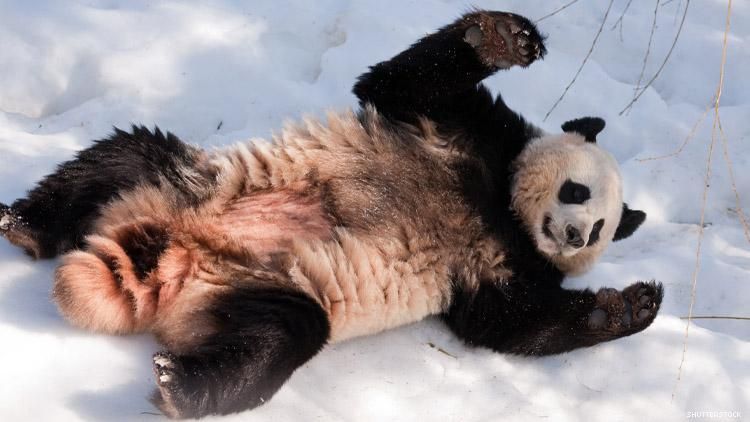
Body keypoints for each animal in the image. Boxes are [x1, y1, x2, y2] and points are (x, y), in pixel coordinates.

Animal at [0, 10, 662, 419]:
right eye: (577, 191)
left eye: (599, 231)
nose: (571, 234)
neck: (503, 209)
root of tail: (169, 253)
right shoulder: (463, 131)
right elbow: (395, 82)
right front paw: (506, 38)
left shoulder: (501, 269)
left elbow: (510, 323)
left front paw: (629, 305)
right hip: (188, 185)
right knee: (125, 156)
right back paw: (26, 226)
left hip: (249, 288)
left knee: (282, 333)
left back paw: (179, 386)